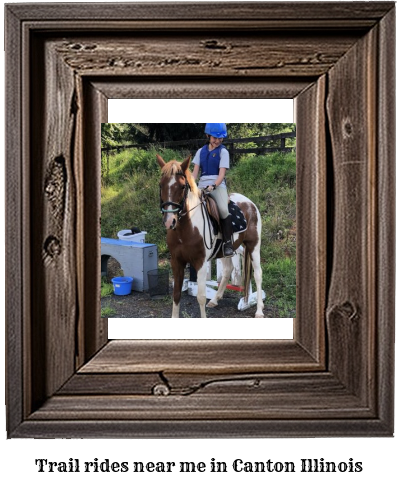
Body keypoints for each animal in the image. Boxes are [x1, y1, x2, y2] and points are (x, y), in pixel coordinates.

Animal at [157, 154, 266, 318]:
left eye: (182, 186)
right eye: (161, 185)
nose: (170, 221)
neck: (186, 228)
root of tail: (249, 203)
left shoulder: (200, 262)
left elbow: (201, 297)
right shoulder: (176, 261)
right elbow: (176, 295)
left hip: (253, 245)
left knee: (258, 274)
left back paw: (259, 310)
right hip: (228, 249)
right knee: (227, 270)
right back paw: (215, 300)